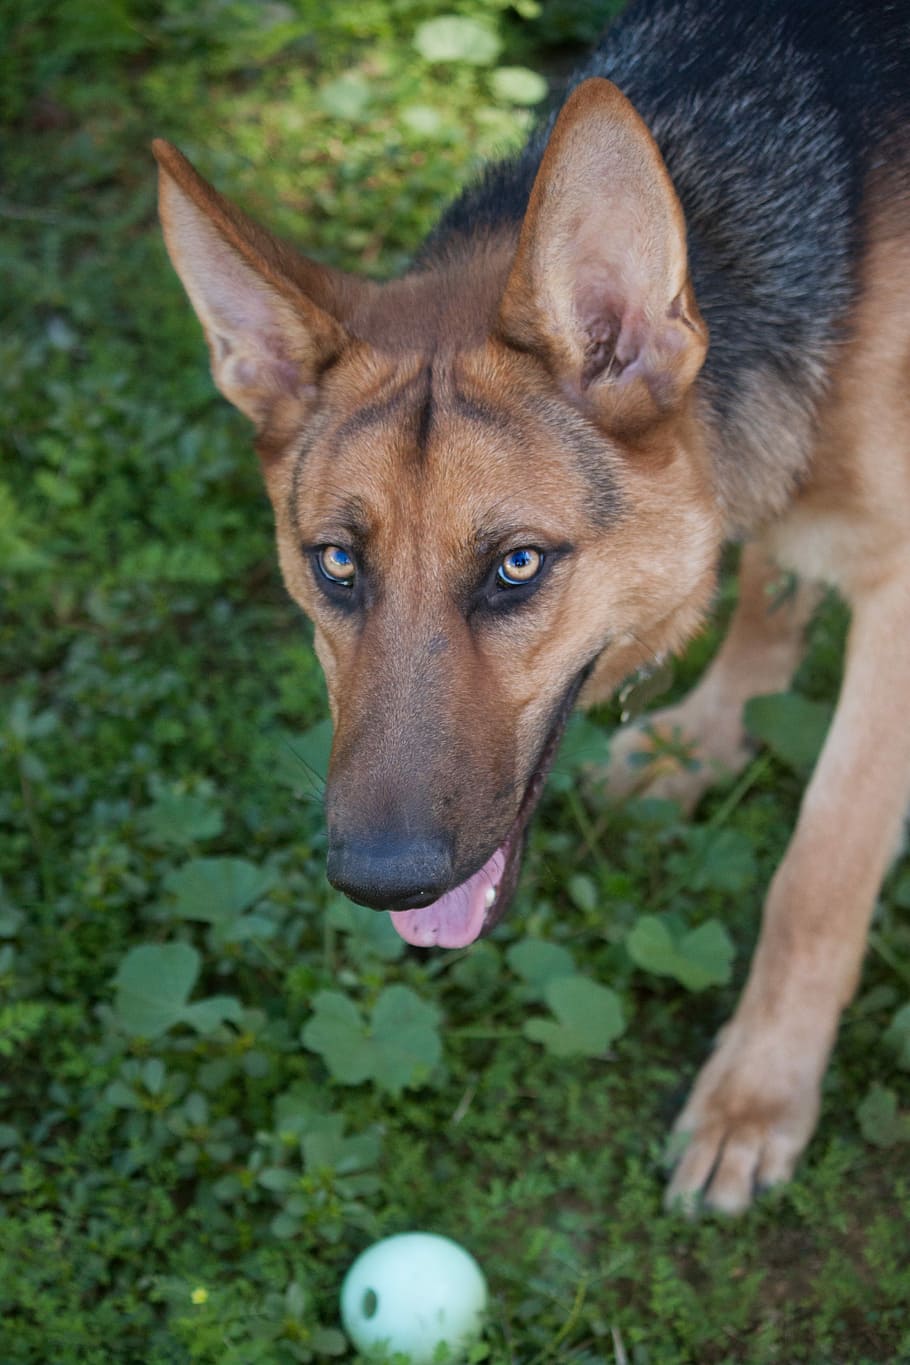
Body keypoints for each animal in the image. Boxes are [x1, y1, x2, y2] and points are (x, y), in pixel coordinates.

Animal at [154, 0, 910, 1217]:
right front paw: (711, 738)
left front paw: (757, 1097)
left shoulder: (898, 603)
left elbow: (820, 870)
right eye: (335, 563)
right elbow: (769, 595)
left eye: (515, 566)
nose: (382, 883)